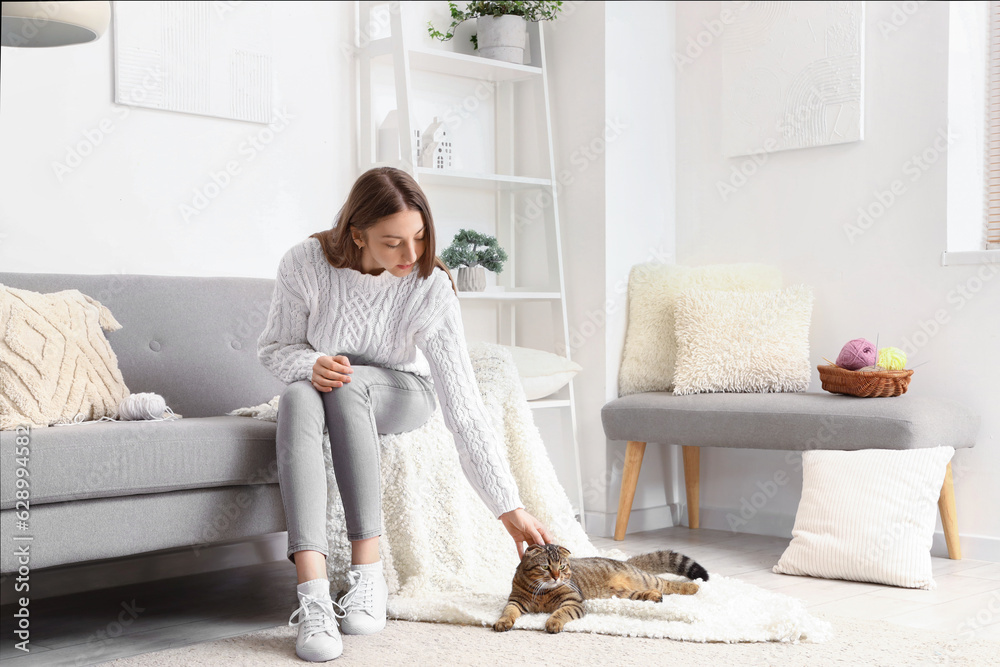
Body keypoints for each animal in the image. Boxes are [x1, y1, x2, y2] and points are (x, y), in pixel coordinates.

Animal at [490, 544, 708, 636]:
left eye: (562, 566)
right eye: (545, 566)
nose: (556, 576)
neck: (542, 591)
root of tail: (625, 561)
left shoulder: (573, 602)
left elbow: (560, 612)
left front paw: (553, 622)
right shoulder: (515, 600)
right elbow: (508, 612)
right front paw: (503, 622)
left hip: (645, 578)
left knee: (667, 583)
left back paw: (693, 586)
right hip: (623, 594)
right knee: (644, 594)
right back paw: (653, 597)